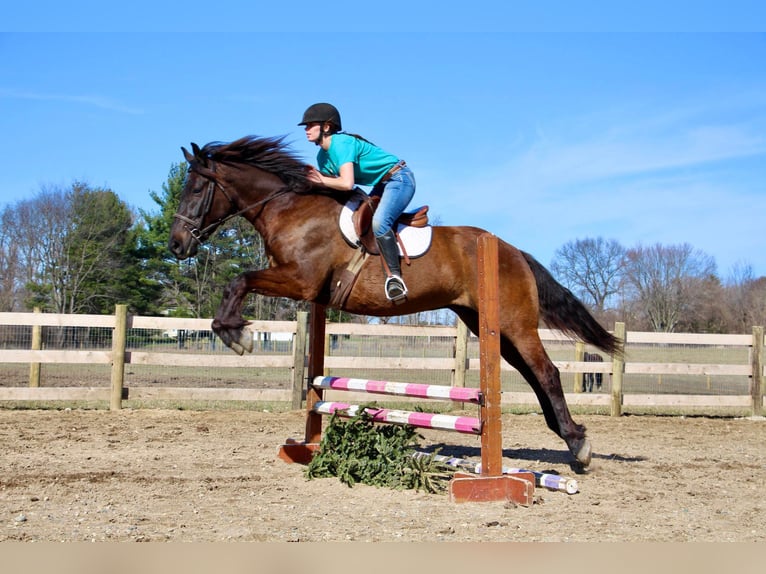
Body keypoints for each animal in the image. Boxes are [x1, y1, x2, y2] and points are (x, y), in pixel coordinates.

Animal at [170, 137, 624, 470]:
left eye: (197, 188)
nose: (176, 245)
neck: (291, 208)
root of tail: (512, 250)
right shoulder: (303, 288)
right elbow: (240, 285)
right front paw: (234, 332)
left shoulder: (299, 281)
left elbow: (239, 280)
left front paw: (238, 336)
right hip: (488, 324)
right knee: (532, 375)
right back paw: (568, 436)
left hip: (515, 323)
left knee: (546, 372)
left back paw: (579, 448)